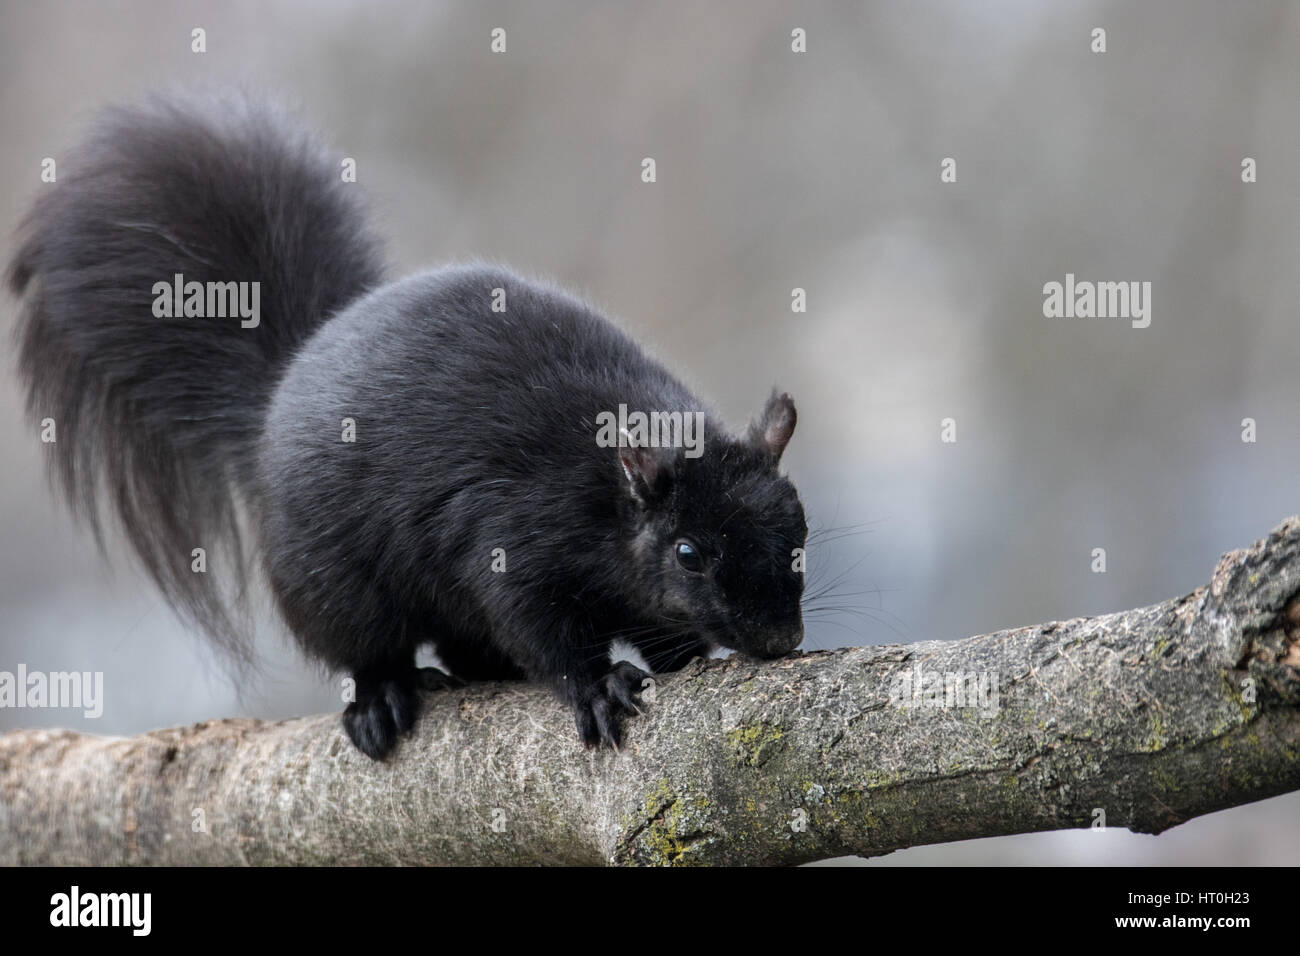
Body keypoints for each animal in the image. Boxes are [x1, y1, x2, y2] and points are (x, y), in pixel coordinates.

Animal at [7, 93, 800, 759]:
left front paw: (686, 657)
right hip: (328, 584)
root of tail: (286, 382)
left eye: (800, 526)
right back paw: (381, 700)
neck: (602, 495)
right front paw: (598, 686)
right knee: (371, 649)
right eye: (689, 553)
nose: (783, 638)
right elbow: (543, 630)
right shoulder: (511, 535)